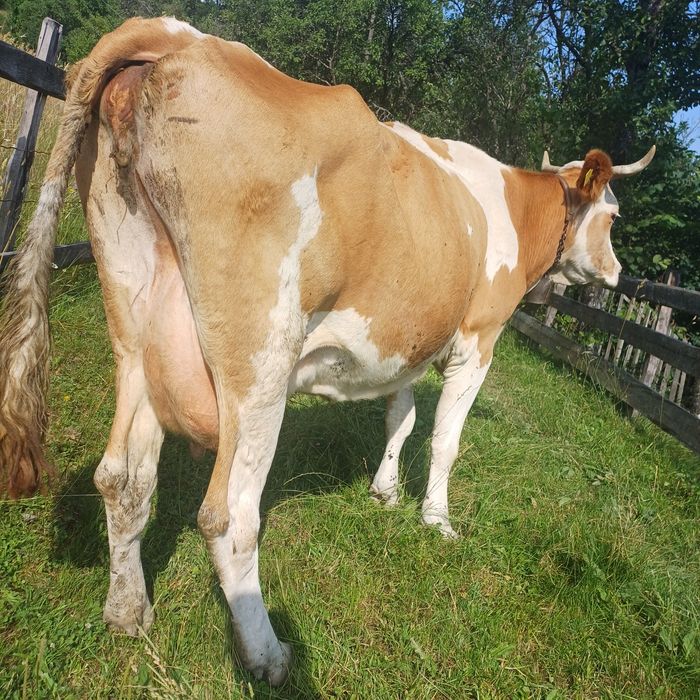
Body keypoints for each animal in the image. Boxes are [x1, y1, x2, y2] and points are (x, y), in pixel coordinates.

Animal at [0, 17, 655, 685]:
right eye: (612, 216)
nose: (618, 275)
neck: (510, 208)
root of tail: (176, 34)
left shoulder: (405, 340)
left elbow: (401, 417)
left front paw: (386, 490)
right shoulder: (479, 338)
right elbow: (445, 440)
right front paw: (437, 519)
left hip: (137, 332)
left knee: (122, 479)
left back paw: (128, 611)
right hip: (260, 362)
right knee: (229, 517)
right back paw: (268, 654)